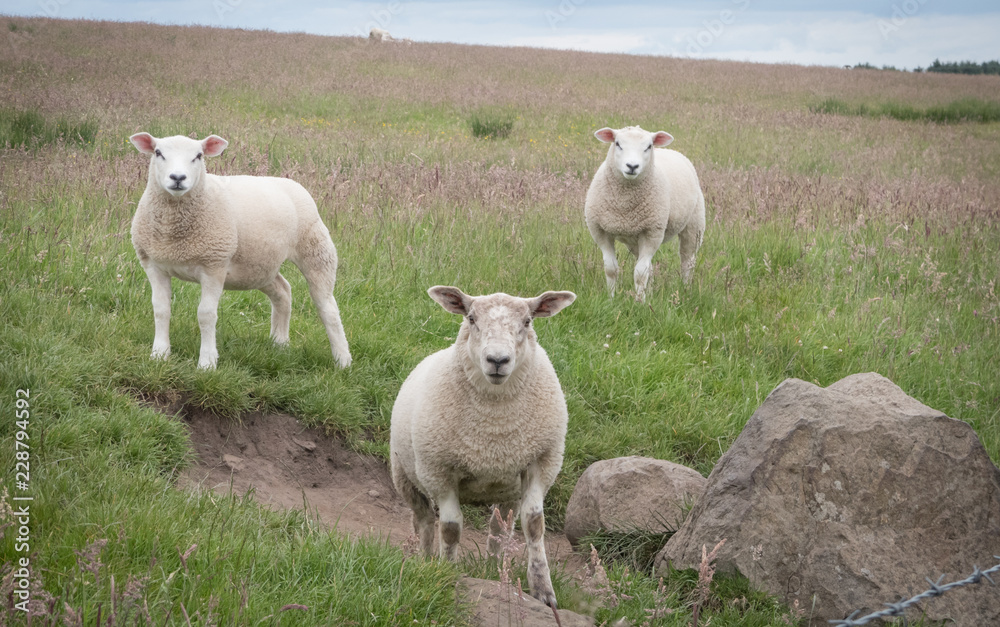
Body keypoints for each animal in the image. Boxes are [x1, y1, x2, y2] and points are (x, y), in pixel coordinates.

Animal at [128, 132, 352, 370]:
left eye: (198, 156)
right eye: (158, 153)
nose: (178, 177)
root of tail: (291, 183)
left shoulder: (214, 265)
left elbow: (206, 315)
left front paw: (207, 363)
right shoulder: (153, 265)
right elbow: (161, 310)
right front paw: (159, 355)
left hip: (315, 248)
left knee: (327, 307)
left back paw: (343, 360)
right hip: (259, 266)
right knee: (283, 291)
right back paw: (280, 343)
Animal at [390, 286, 576, 608]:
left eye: (528, 321)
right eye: (471, 318)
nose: (497, 360)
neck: (494, 427)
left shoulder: (542, 462)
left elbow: (534, 524)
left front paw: (543, 590)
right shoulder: (439, 472)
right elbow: (450, 528)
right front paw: (448, 572)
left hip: (507, 488)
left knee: (499, 529)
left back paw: (493, 569)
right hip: (404, 474)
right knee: (423, 520)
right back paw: (425, 559)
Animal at [584, 125, 706, 301]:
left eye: (648, 146)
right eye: (618, 143)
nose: (632, 166)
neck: (624, 205)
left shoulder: (652, 232)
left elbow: (640, 273)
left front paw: (639, 302)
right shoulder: (600, 231)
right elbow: (611, 269)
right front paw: (611, 299)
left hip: (694, 225)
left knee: (687, 261)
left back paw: (685, 290)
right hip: (635, 239)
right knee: (651, 267)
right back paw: (652, 292)